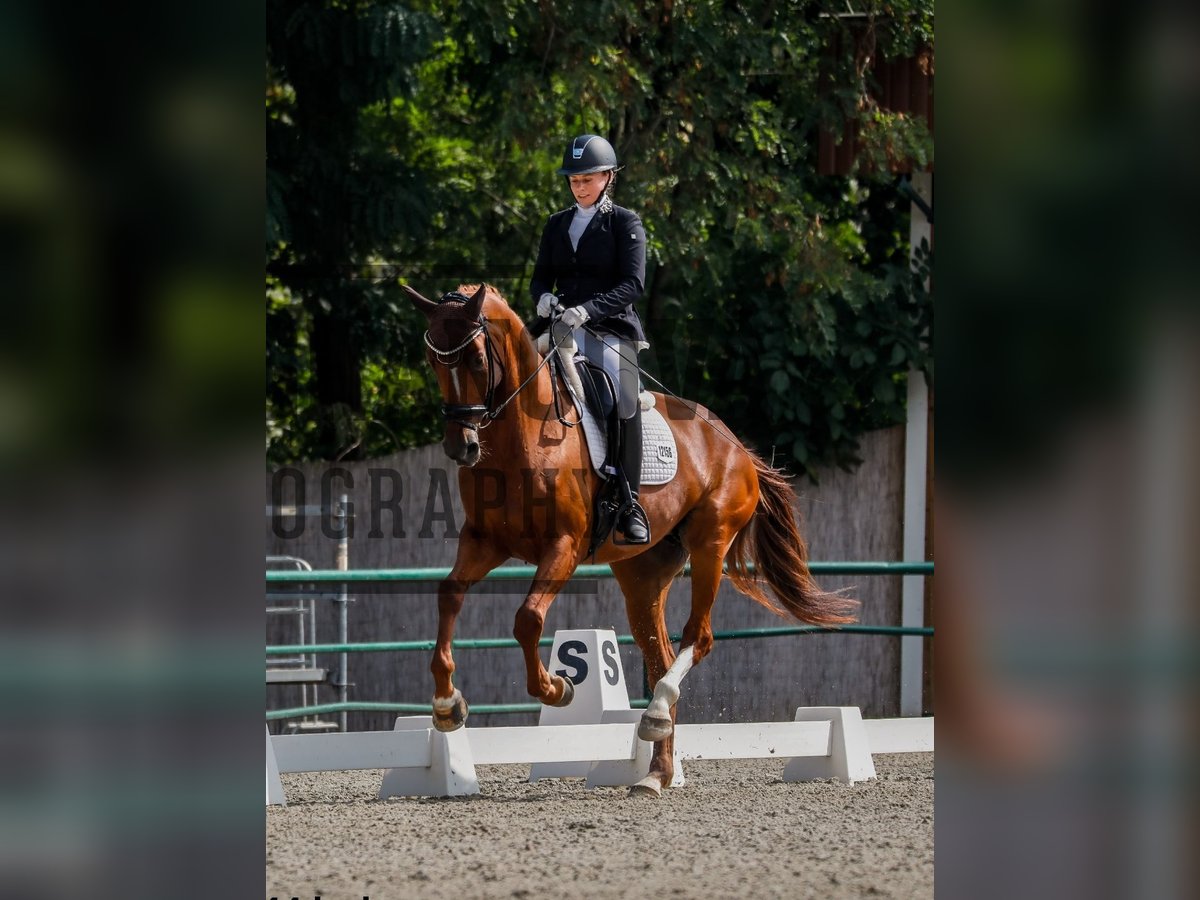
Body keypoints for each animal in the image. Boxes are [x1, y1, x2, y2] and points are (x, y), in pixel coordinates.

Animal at [408, 282, 859, 796]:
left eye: (478, 359)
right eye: (433, 359)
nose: (460, 447)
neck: (519, 435)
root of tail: (735, 443)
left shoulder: (563, 546)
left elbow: (527, 619)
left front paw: (557, 688)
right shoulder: (484, 541)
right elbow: (449, 594)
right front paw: (447, 705)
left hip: (710, 545)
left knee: (698, 637)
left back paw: (656, 717)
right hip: (641, 574)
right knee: (660, 655)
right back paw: (656, 771)